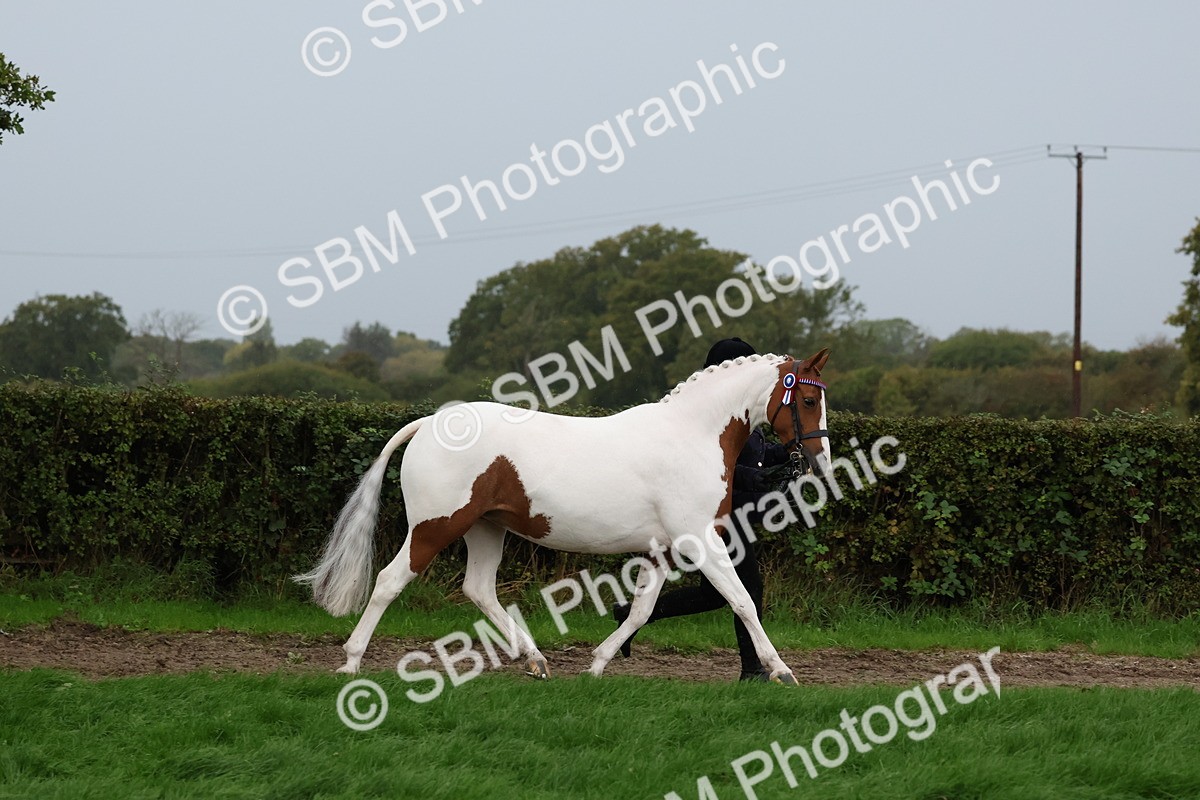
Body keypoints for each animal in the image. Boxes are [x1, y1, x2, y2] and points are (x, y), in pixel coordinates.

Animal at [295, 348, 831, 684]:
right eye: (808, 399)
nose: (819, 460)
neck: (691, 435)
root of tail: (429, 423)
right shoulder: (699, 539)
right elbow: (742, 601)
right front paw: (781, 670)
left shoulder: (662, 549)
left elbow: (642, 609)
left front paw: (596, 665)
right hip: (436, 526)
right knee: (389, 581)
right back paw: (350, 662)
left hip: (486, 529)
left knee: (478, 589)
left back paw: (536, 661)